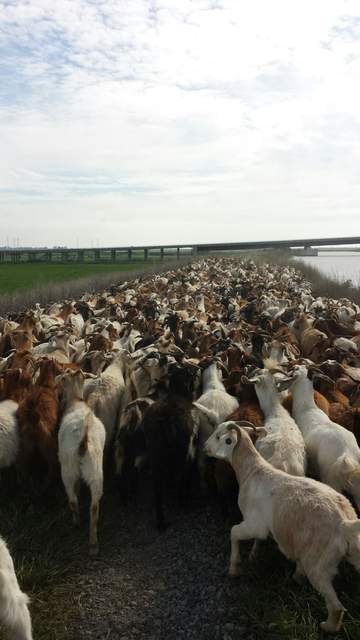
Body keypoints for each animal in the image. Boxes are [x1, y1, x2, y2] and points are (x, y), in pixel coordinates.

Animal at [58, 370, 105, 556]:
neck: (77, 403)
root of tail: (83, 441)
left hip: (68, 470)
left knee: (72, 499)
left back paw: (76, 524)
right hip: (95, 471)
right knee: (94, 507)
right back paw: (93, 544)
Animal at [207, 420, 360, 636]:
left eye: (221, 437)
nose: (205, 448)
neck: (252, 471)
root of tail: (346, 523)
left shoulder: (254, 523)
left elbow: (234, 533)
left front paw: (234, 567)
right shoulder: (261, 528)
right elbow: (258, 540)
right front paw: (254, 554)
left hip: (319, 563)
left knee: (336, 606)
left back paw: (328, 626)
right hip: (354, 553)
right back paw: (297, 576)